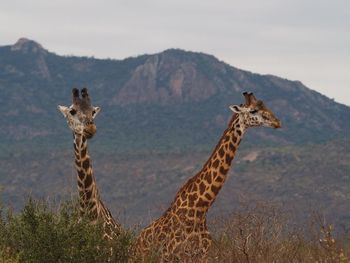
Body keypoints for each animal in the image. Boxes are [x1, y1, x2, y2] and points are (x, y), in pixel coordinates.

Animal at [131, 92, 282, 262]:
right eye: (253, 111)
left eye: (265, 105)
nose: (277, 122)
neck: (200, 208)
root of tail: (136, 242)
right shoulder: (178, 255)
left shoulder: (203, 255)